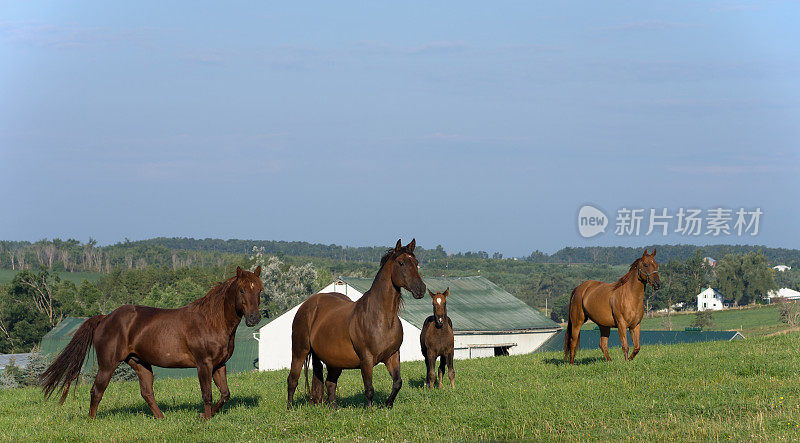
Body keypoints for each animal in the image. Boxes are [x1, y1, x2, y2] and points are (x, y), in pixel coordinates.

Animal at [39, 268, 262, 420]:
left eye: (259, 290)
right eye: (241, 290)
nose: (254, 318)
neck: (211, 321)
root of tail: (105, 318)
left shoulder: (219, 364)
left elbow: (225, 394)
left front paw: (203, 416)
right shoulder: (203, 364)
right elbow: (206, 394)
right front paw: (205, 419)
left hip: (140, 363)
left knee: (147, 392)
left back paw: (161, 418)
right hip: (107, 365)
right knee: (97, 391)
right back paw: (91, 420)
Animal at [286, 239, 424, 410]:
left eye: (416, 263)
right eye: (401, 263)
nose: (421, 289)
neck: (382, 318)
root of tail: (307, 305)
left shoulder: (393, 356)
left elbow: (397, 383)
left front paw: (387, 404)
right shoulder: (366, 359)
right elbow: (369, 389)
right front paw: (370, 411)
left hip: (334, 361)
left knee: (330, 383)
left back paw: (335, 409)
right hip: (300, 352)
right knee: (293, 379)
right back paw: (290, 409)